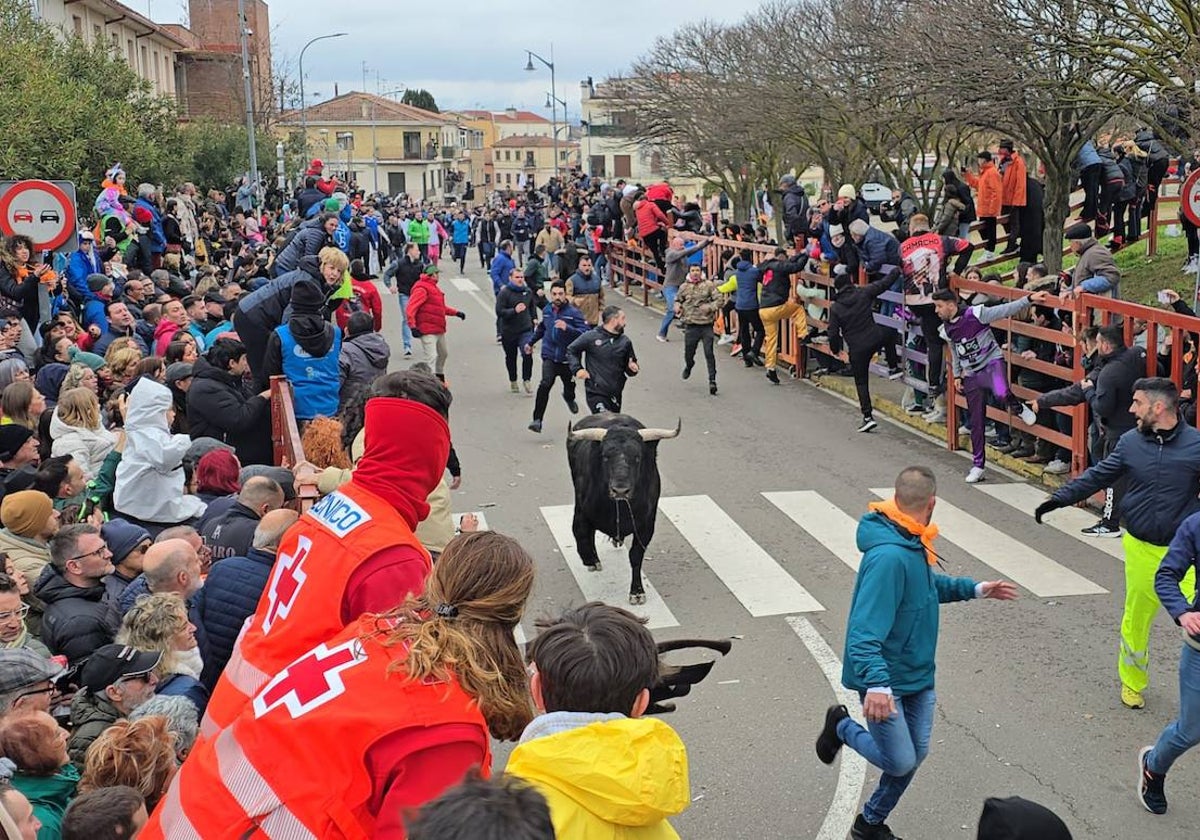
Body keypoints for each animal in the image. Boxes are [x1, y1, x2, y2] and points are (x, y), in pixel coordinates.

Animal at [564, 412, 681, 604]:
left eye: (637, 457)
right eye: (605, 456)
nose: (620, 490)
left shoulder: (646, 526)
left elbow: (636, 556)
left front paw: (637, 592)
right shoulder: (581, 512)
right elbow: (581, 535)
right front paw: (590, 560)